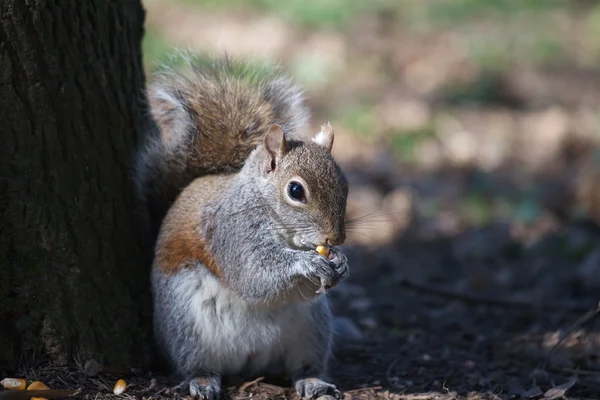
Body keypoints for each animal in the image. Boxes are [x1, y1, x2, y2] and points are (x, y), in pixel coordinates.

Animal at [135, 55, 352, 400]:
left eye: (345, 184)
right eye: (295, 191)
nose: (337, 237)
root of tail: (249, 362)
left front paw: (342, 263)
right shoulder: (230, 231)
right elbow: (251, 274)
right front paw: (306, 263)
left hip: (312, 329)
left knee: (303, 366)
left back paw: (313, 381)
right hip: (186, 326)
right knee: (195, 363)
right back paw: (202, 381)